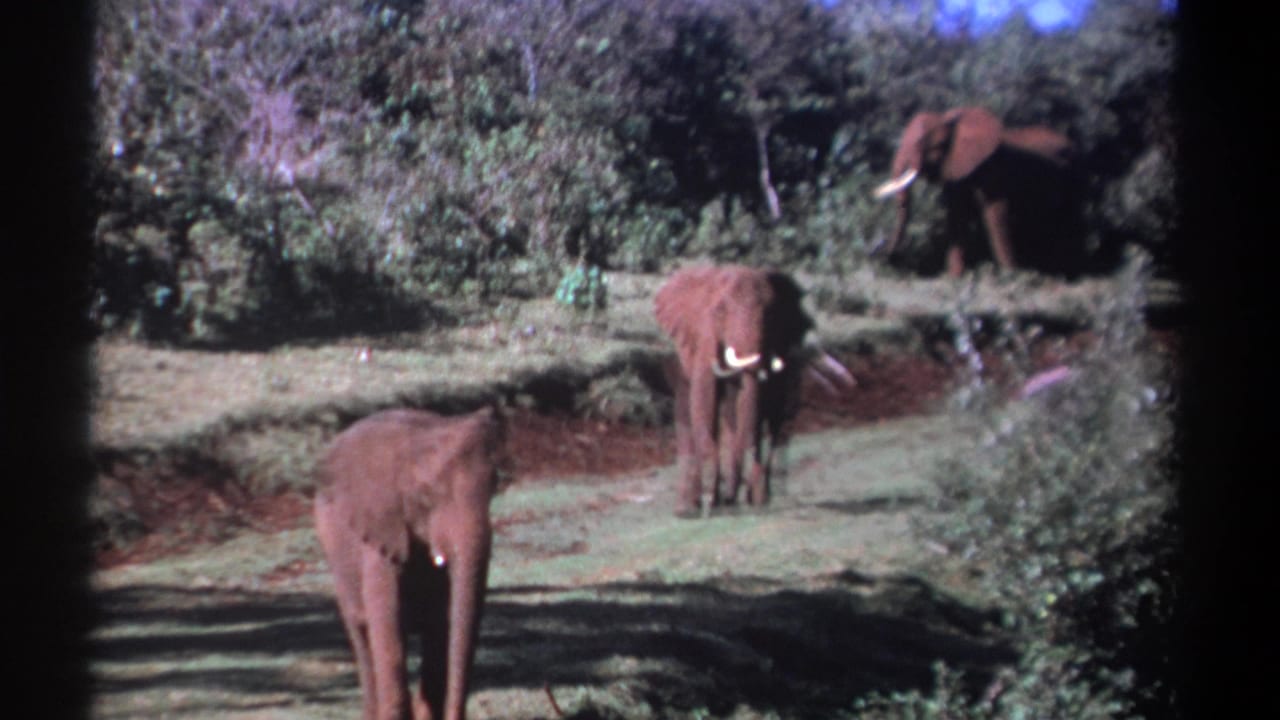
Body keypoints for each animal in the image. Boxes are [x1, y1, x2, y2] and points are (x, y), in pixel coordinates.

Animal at [314, 406, 505, 720]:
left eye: (494, 488)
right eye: (424, 497)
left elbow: (442, 622)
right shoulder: (380, 532)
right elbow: (387, 622)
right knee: (362, 635)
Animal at [654, 265, 855, 517]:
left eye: (770, 315)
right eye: (720, 311)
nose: (729, 499)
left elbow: (754, 407)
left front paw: (743, 499)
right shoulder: (703, 337)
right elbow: (705, 398)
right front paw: (713, 501)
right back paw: (690, 509)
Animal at [874, 106, 1083, 277]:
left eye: (928, 145)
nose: (884, 257)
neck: (950, 120)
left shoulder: (992, 167)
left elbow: (994, 212)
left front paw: (1011, 275)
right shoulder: (956, 168)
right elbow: (957, 215)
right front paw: (954, 278)